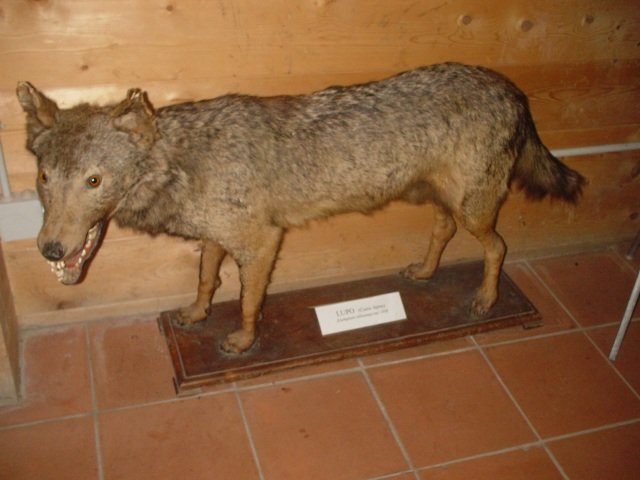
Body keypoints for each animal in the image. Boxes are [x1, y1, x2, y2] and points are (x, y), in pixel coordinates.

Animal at [17, 63, 585, 353]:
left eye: (93, 181)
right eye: (45, 179)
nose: (50, 249)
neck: (182, 161)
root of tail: (513, 91)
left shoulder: (261, 242)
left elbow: (248, 300)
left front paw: (242, 340)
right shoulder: (214, 238)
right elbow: (205, 281)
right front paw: (196, 315)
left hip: (473, 209)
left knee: (498, 247)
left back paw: (485, 301)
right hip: (437, 199)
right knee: (442, 234)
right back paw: (424, 273)